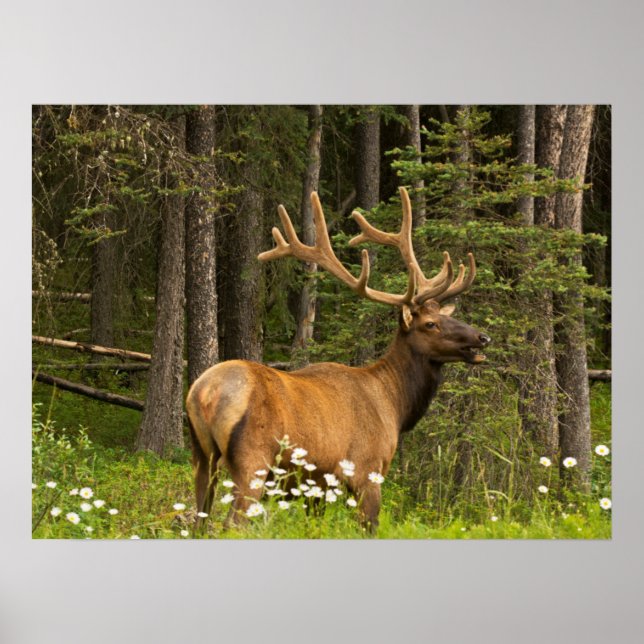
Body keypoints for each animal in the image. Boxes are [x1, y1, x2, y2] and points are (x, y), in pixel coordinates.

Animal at [185, 187, 490, 531]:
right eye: (430, 324)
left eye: (446, 316)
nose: (482, 338)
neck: (394, 404)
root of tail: (203, 394)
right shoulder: (367, 470)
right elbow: (370, 526)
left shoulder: (317, 485)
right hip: (253, 460)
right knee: (232, 523)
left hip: (202, 457)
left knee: (199, 520)